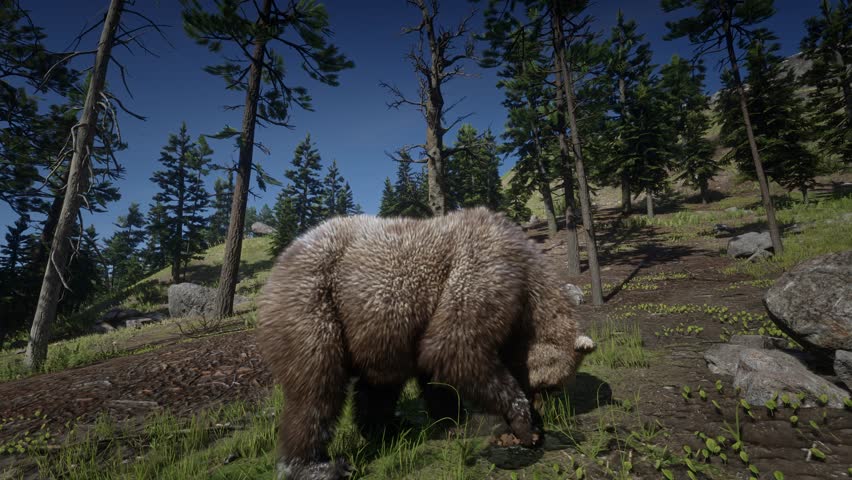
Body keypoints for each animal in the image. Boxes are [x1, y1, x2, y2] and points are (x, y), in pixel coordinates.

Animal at [257, 207, 595, 480]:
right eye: (551, 385)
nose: (542, 408)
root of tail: (278, 264)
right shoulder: (484, 271)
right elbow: (455, 347)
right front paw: (522, 424)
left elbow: (434, 370)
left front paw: (453, 419)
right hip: (314, 305)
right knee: (316, 390)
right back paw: (319, 465)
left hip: (377, 329)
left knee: (378, 383)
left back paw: (389, 428)